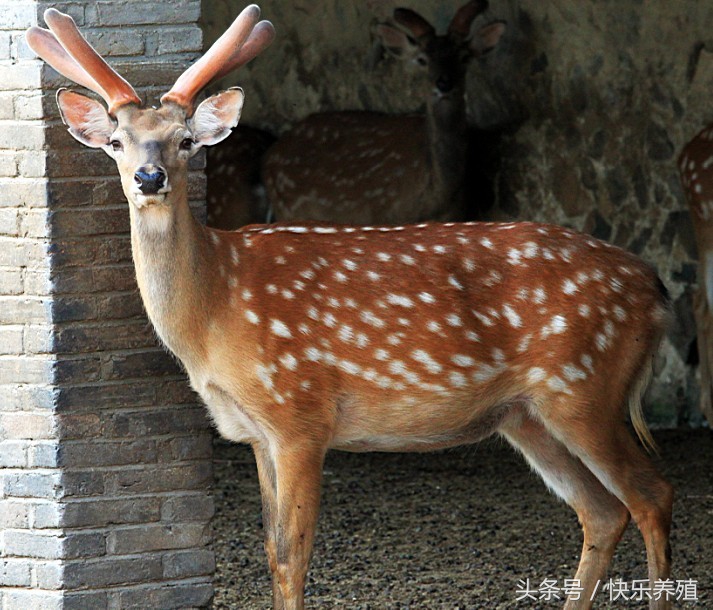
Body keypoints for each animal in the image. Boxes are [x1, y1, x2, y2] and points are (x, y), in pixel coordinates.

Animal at [262, 0, 506, 225]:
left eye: (464, 57)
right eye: (422, 59)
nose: (444, 83)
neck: (436, 196)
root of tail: (271, 153)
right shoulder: (381, 214)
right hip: (288, 210)